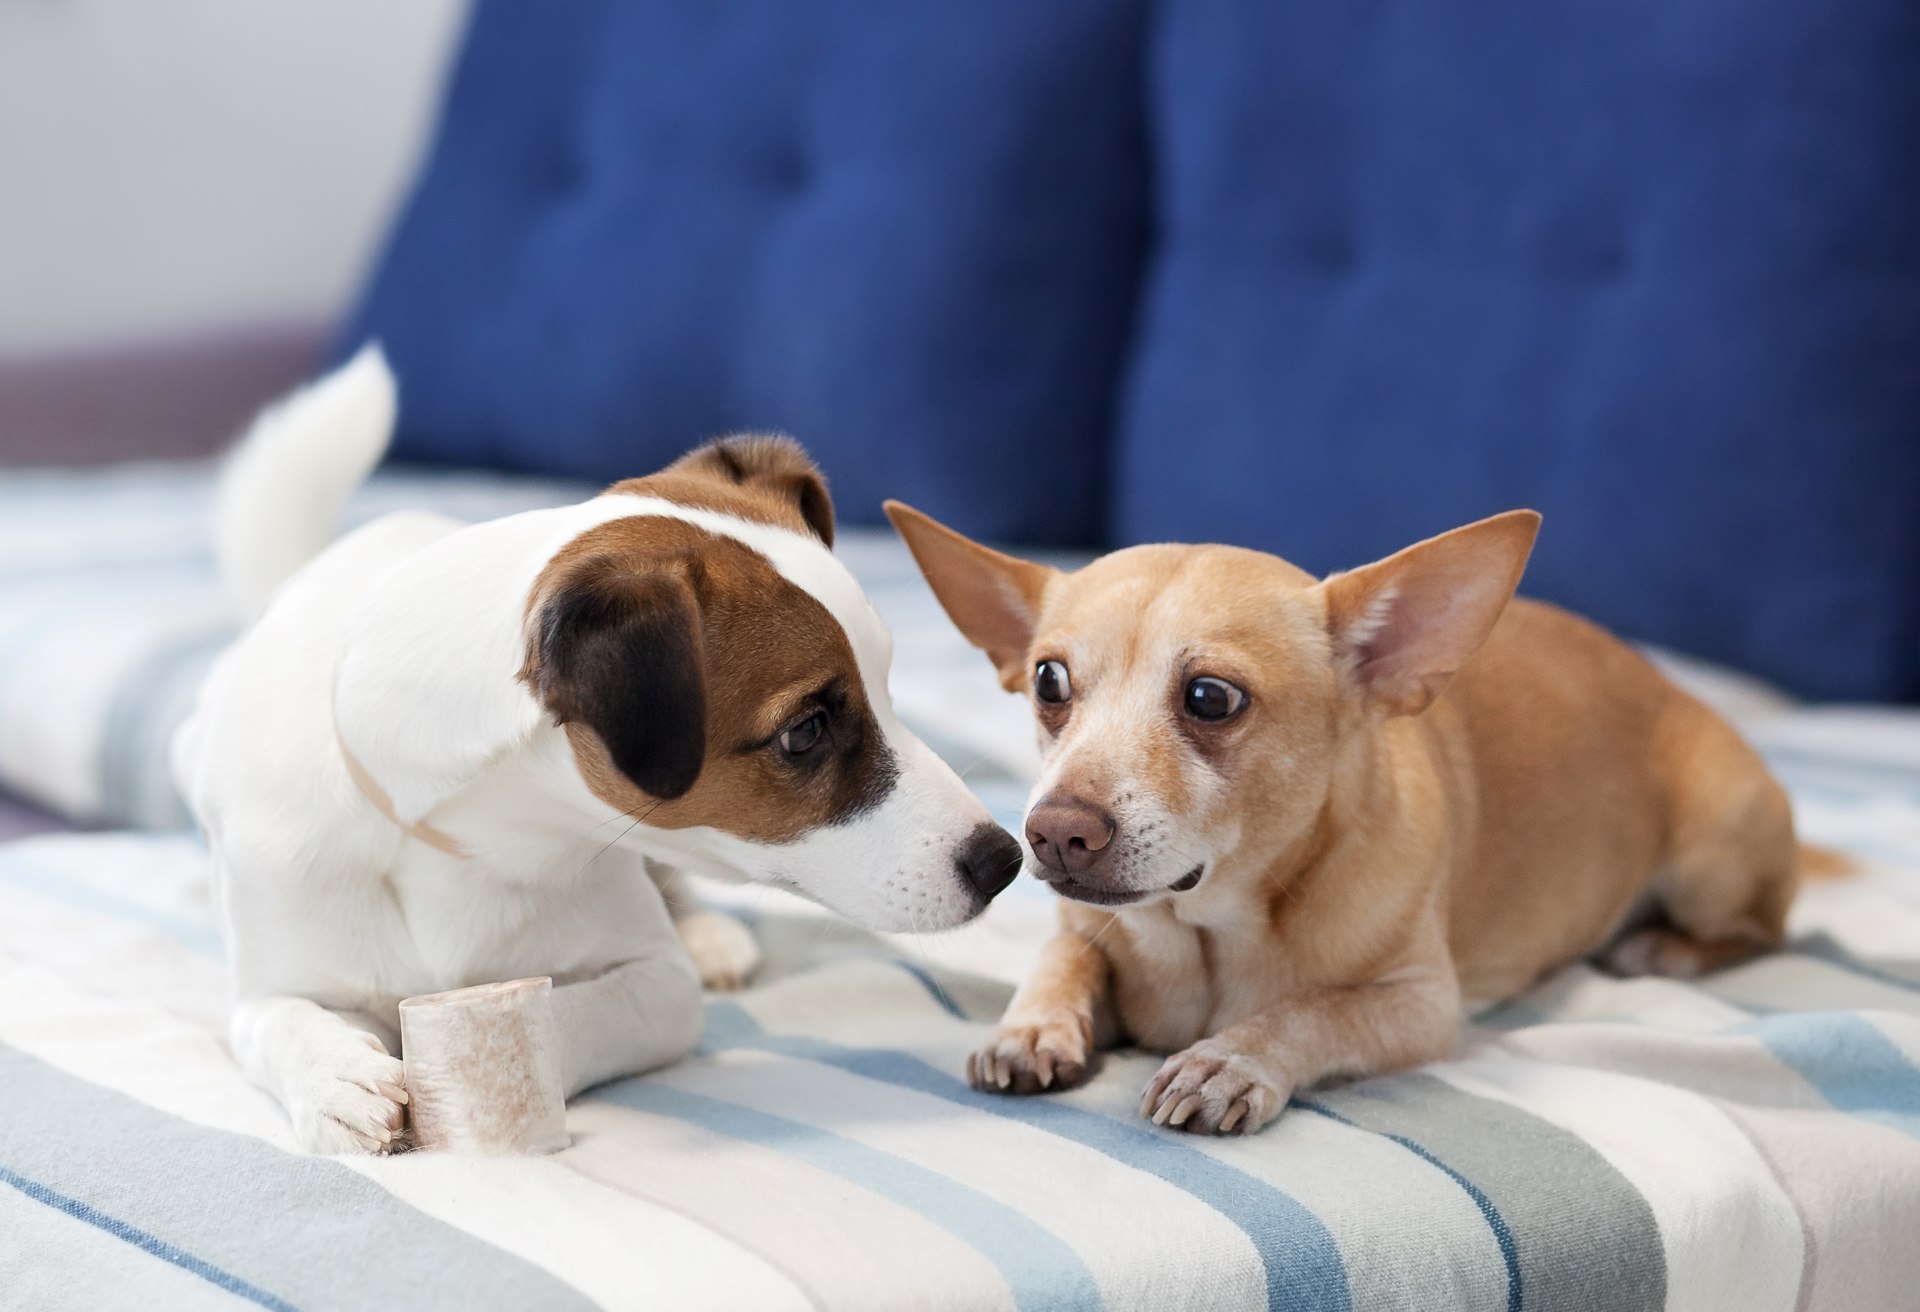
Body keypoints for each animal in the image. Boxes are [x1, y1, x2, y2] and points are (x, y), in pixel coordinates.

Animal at [176, 351, 1021, 1160]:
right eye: (806, 730)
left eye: (886, 683)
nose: (1004, 861)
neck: (459, 838)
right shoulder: (266, 985)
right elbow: (278, 1023)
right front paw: (336, 1081)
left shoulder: (659, 984)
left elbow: (565, 1009)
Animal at [890, 503, 1804, 1137]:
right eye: (1048, 682)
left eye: (1210, 698)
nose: (1050, 833)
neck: (1210, 936)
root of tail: (1674, 686)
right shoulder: (1085, 931)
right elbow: (1063, 960)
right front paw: (1031, 1026)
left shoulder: (1421, 1007)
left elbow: (1315, 1012)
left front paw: (1231, 1059)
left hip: (1715, 857)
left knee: (1762, 929)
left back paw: (1662, 947)